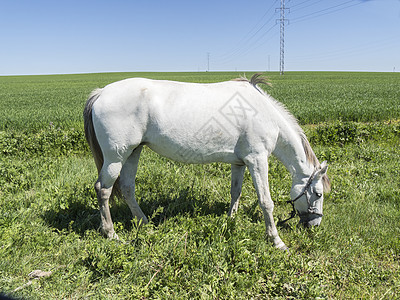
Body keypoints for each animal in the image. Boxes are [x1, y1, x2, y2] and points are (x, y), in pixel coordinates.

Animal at [83, 74, 328, 250]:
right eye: (318, 194)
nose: (314, 225)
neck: (263, 112)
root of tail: (101, 93)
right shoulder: (257, 160)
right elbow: (266, 201)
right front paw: (276, 241)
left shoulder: (240, 163)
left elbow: (235, 192)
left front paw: (231, 220)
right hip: (115, 157)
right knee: (103, 190)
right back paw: (111, 233)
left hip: (133, 152)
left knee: (127, 188)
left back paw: (145, 223)